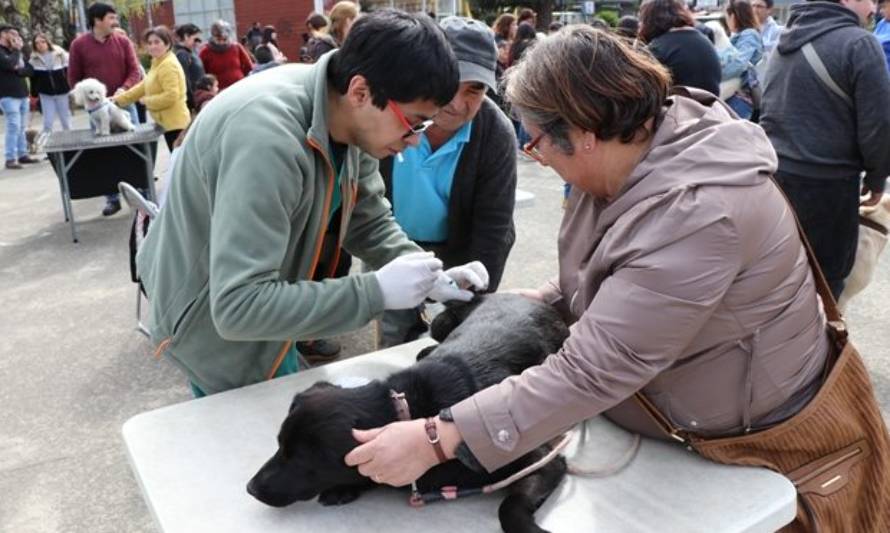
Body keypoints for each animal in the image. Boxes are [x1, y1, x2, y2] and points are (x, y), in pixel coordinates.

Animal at [246, 294, 572, 528]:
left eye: (301, 459)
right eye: (279, 446)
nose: (251, 488)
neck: (412, 414)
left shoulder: (543, 460)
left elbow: (509, 509)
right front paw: (345, 488)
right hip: (440, 323)